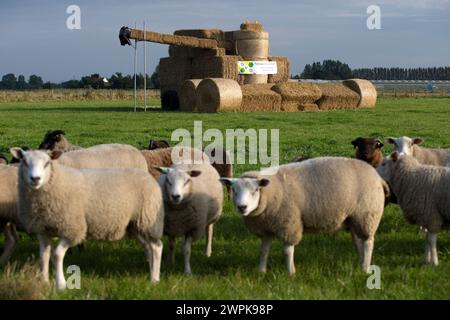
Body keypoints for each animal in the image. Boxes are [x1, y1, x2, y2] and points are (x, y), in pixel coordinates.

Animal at [11, 148, 164, 290]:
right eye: (24, 162)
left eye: (47, 163)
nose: (35, 179)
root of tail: (149, 177)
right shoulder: (42, 230)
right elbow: (44, 256)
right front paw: (44, 282)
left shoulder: (73, 228)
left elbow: (57, 255)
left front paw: (60, 284)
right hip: (136, 225)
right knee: (148, 247)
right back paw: (150, 271)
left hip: (148, 219)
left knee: (156, 247)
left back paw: (154, 279)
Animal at [220, 156, 388, 274]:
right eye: (234, 190)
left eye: (255, 190)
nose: (242, 207)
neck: (272, 193)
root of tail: (378, 177)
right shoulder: (267, 228)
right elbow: (264, 251)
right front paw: (261, 272)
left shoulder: (289, 224)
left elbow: (287, 251)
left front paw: (291, 273)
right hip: (353, 218)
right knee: (357, 241)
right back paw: (360, 262)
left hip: (367, 215)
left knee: (368, 242)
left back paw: (365, 268)